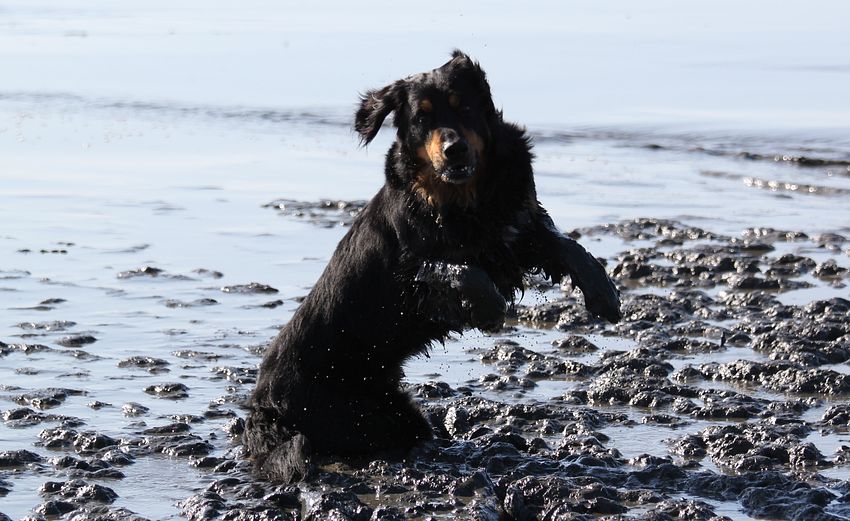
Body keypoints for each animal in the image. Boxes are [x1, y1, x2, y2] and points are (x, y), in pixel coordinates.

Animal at [243, 50, 621, 483]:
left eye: (464, 106)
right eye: (421, 118)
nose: (453, 149)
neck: (465, 197)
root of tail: (262, 409)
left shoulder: (513, 229)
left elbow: (564, 244)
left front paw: (604, 293)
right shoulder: (408, 272)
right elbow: (454, 270)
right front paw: (490, 309)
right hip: (356, 416)